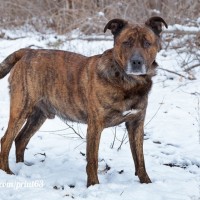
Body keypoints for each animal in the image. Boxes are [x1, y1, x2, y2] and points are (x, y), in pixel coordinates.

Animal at [0, 16, 167, 187]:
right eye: (126, 42)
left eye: (147, 43)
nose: (136, 62)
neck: (129, 82)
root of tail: (28, 51)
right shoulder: (95, 126)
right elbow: (92, 160)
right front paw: (94, 186)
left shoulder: (136, 124)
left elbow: (140, 160)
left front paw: (146, 183)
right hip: (21, 110)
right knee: (6, 140)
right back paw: (7, 172)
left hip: (38, 116)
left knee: (21, 139)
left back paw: (22, 166)